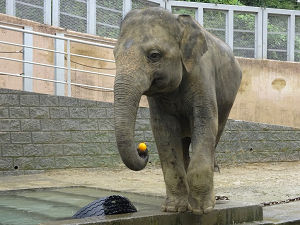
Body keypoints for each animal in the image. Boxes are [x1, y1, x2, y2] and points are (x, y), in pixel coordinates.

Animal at [112, 7, 241, 214]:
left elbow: (205, 122)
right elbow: (163, 131)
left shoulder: (202, 74)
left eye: (154, 55)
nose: (142, 150)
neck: (179, 22)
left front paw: (202, 209)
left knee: (215, 134)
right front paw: (174, 208)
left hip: (228, 100)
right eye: (114, 54)